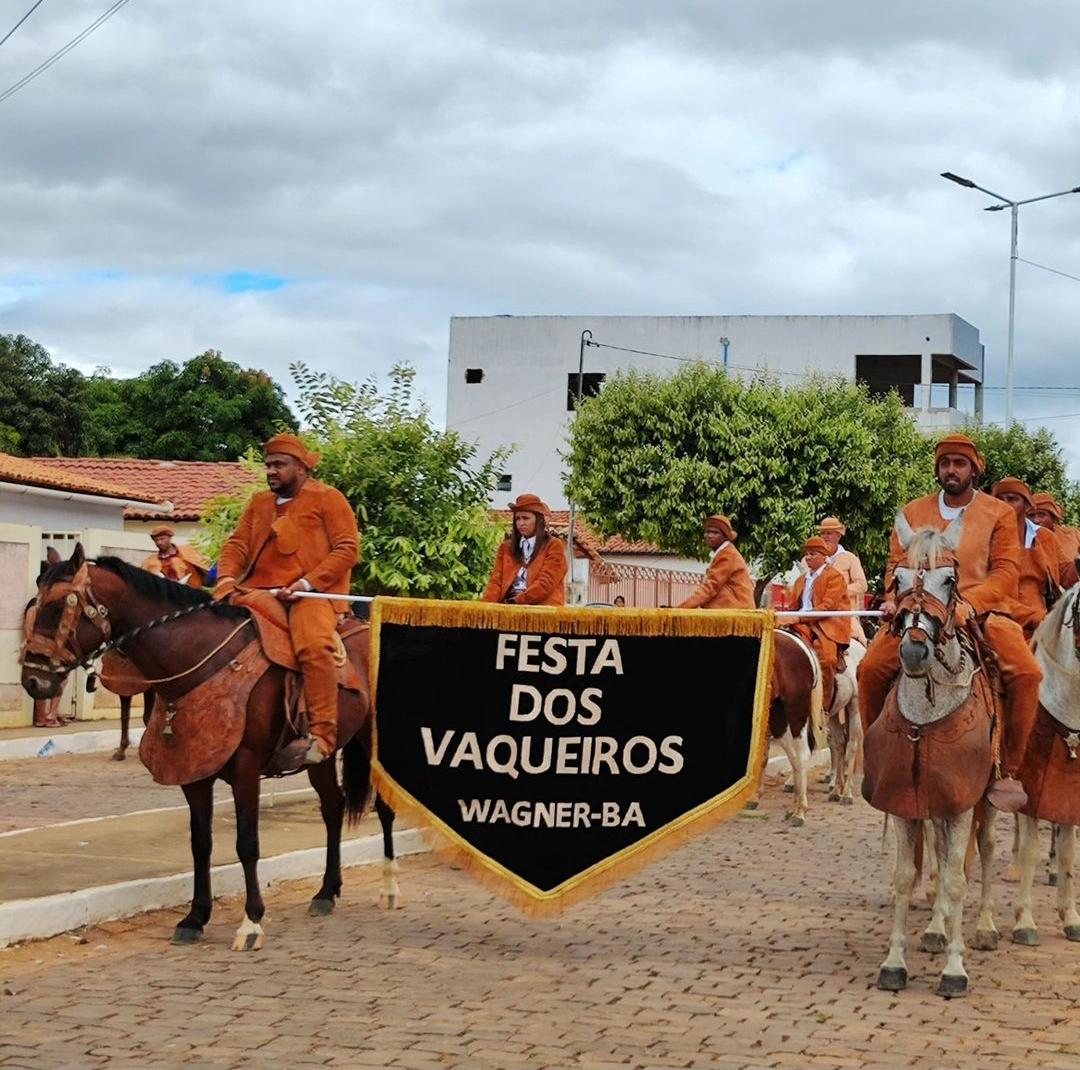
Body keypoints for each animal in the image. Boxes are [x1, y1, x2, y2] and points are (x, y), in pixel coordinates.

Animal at [19, 548, 401, 950]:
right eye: (35, 604)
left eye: (58, 606)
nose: (33, 680)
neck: (201, 659)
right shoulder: (193, 769)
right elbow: (200, 843)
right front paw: (195, 917)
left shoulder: (247, 767)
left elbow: (247, 842)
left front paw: (252, 921)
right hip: (321, 756)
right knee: (333, 806)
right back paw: (327, 892)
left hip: (373, 738)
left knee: (384, 806)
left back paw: (389, 887)